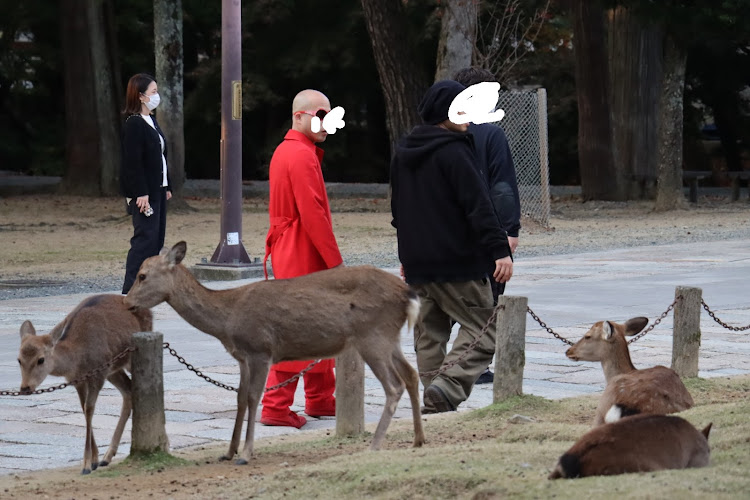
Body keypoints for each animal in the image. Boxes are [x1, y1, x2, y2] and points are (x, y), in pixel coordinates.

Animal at [17, 294, 152, 474]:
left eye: (41, 359)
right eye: (19, 359)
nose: (25, 388)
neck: (77, 360)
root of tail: (149, 312)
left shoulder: (98, 375)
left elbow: (89, 409)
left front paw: (86, 465)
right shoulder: (77, 381)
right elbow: (83, 409)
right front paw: (94, 461)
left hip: (129, 358)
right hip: (114, 369)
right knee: (128, 390)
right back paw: (107, 456)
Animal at [126, 241, 426, 464]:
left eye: (142, 275)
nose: (127, 302)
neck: (227, 319)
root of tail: (407, 294)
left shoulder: (260, 349)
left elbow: (254, 397)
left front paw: (246, 453)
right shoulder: (242, 357)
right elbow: (240, 398)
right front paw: (228, 452)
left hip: (371, 336)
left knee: (394, 385)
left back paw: (374, 445)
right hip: (389, 338)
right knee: (411, 374)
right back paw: (418, 439)